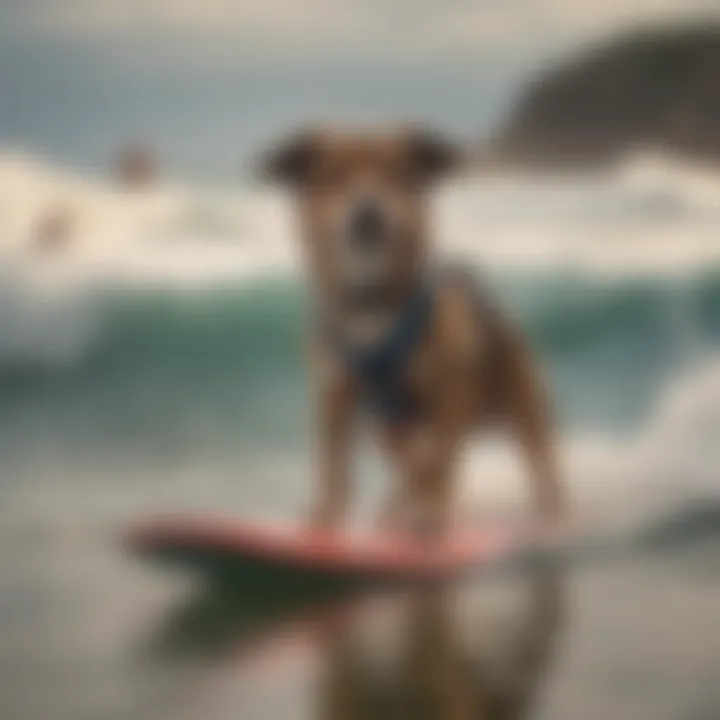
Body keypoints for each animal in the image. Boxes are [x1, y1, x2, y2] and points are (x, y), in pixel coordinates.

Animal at [262, 126, 564, 536]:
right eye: (334, 176)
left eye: (397, 175)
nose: (368, 213)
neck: (371, 303)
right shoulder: (335, 398)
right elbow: (334, 466)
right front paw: (326, 516)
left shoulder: (451, 394)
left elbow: (437, 462)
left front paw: (428, 512)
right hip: (392, 422)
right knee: (408, 456)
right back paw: (398, 505)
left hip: (525, 409)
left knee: (537, 461)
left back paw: (551, 511)